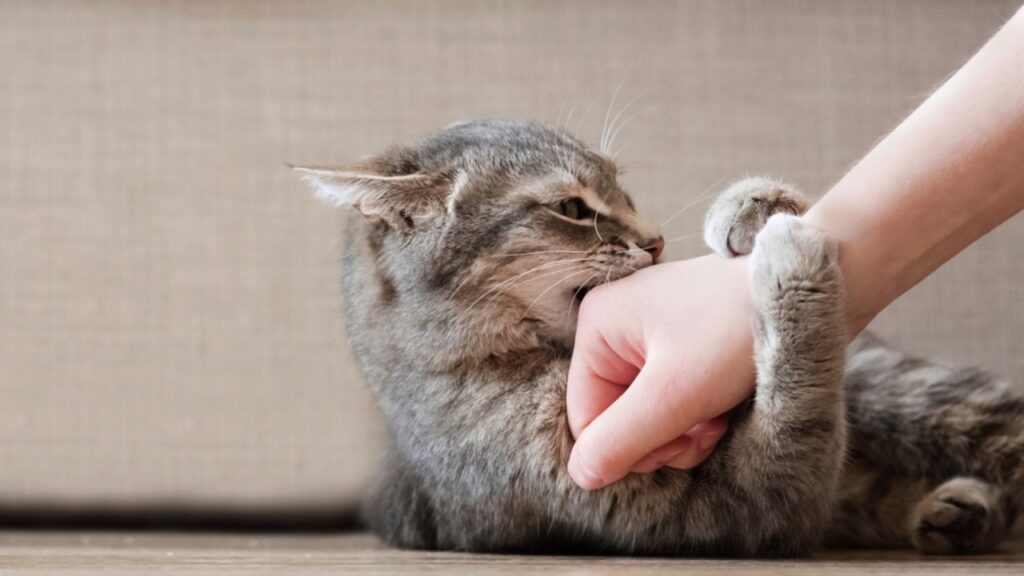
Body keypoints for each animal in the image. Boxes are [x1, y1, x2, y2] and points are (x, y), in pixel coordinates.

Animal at [292, 118, 1019, 553]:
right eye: (572, 208)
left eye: (624, 189)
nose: (656, 240)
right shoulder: (733, 512)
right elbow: (800, 412)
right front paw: (793, 270)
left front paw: (754, 208)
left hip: (903, 391)